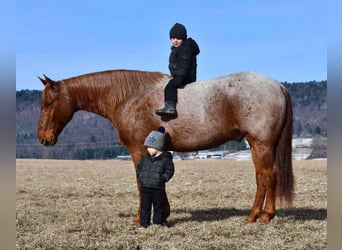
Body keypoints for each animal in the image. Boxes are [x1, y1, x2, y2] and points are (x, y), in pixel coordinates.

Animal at [36, 69, 294, 224]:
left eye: (48, 103)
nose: (43, 139)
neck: (128, 97)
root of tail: (278, 86)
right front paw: (164, 213)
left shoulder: (138, 149)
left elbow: (142, 182)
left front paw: (142, 218)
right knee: (264, 177)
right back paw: (258, 214)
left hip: (260, 144)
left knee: (268, 176)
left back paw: (263, 216)